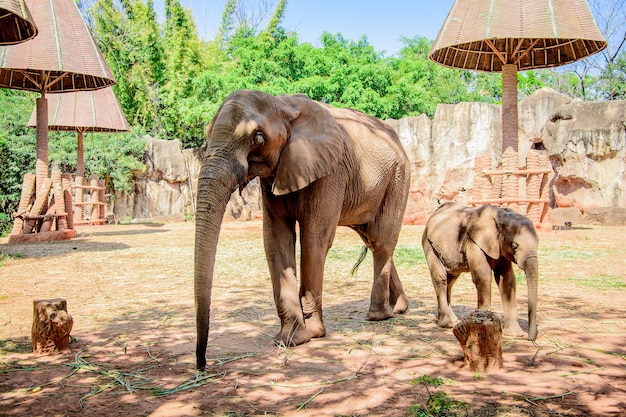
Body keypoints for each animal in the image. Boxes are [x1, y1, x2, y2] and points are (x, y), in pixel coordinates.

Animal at [195, 90, 410, 368]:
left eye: (258, 138)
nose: (202, 363)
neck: (284, 104)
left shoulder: (331, 170)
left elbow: (315, 238)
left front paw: (314, 334)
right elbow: (276, 240)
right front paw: (291, 339)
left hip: (398, 178)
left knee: (381, 240)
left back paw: (378, 316)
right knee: (372, 239)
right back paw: (400, 308)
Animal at [420, 202, 536, 342]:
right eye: (515, 246)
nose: (530, 338)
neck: (502, 215)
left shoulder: (499, 247)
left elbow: (507, 280)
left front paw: (515, 335)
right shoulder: (474, 242)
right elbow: (483, 276)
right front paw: (484, 324)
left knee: (451, 279)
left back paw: (453, 320)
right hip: (429, 244)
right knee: (441, 277)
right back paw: (448, 324)